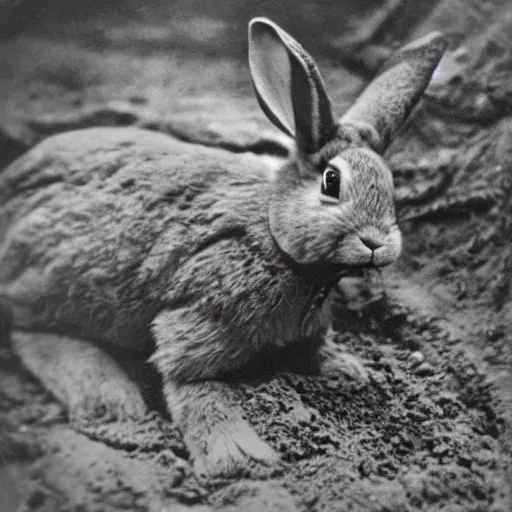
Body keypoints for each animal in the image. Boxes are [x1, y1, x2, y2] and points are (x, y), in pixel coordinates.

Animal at [0, 18, 448, 478]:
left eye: (390, 187)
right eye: (331, 181)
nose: (376, 242)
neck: (276, 235)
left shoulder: (308, 326)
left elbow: (315, 347)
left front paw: (350, 372)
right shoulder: (205, 311)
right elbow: (191, 381)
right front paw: (238, 459)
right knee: (32, 332)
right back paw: (113, 405)